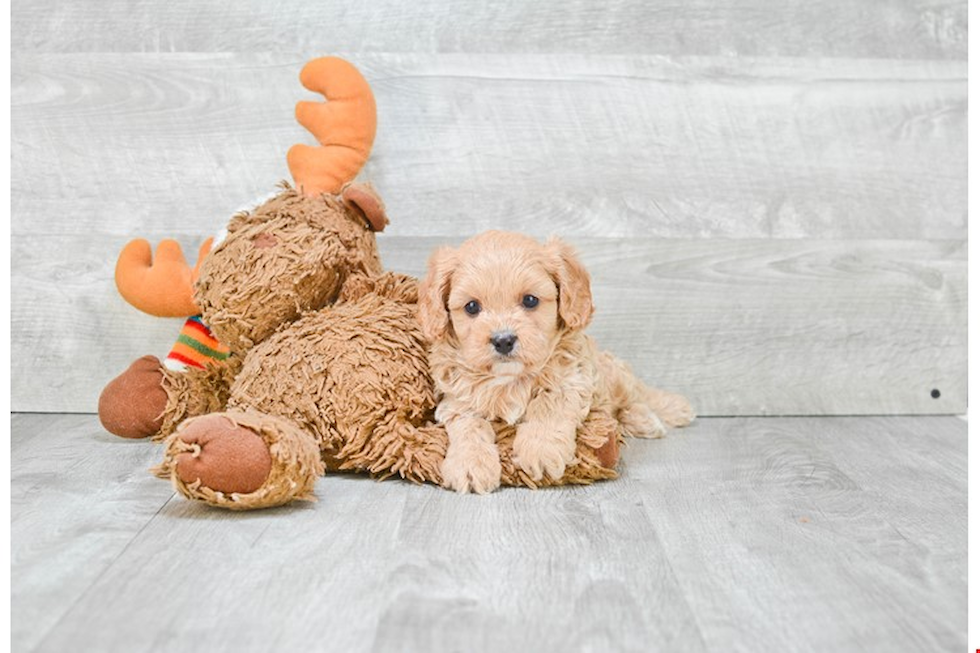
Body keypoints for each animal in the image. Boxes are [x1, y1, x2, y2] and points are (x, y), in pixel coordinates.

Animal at [418, 232, 692, 492]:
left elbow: (548, 404)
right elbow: (470, 427)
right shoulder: (457, 401)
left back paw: (654, 415)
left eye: (530, 300)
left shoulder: (571, 379)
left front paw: (540, 451)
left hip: (612, 375)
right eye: (472, 307)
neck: (511, 378)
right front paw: (469, 465)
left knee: (637, 393)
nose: (503, 340)